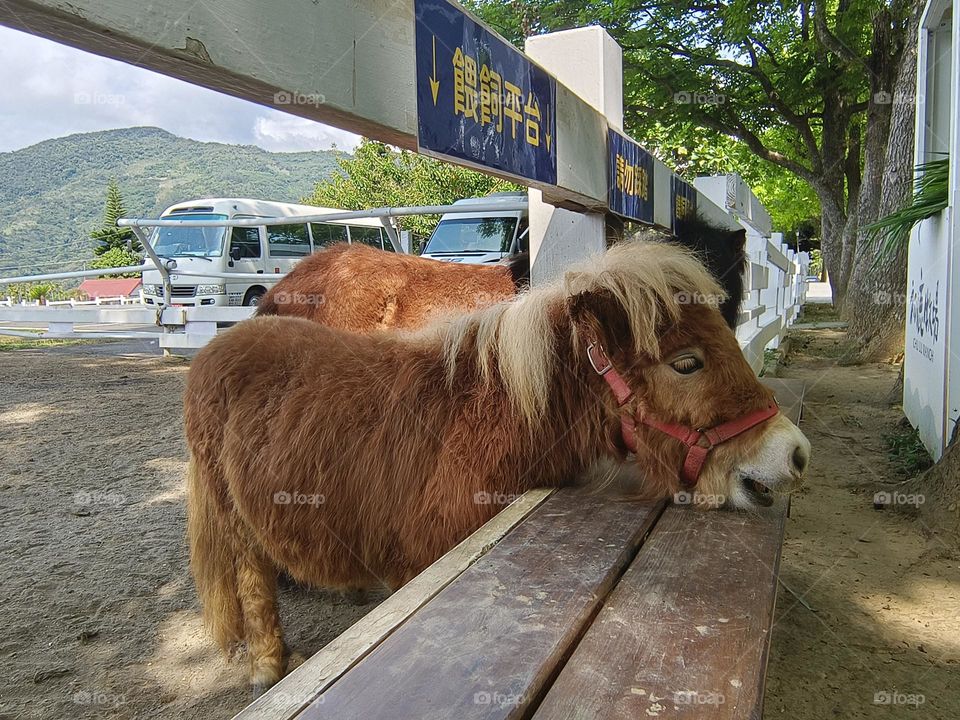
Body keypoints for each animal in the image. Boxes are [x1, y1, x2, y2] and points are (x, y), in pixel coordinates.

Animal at [185, 239, 809, 692]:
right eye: (686, 363)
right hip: (235, 524)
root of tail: (227, 340)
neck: (485, 419)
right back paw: (269, 664)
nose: (794, 454)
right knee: (253, 582)